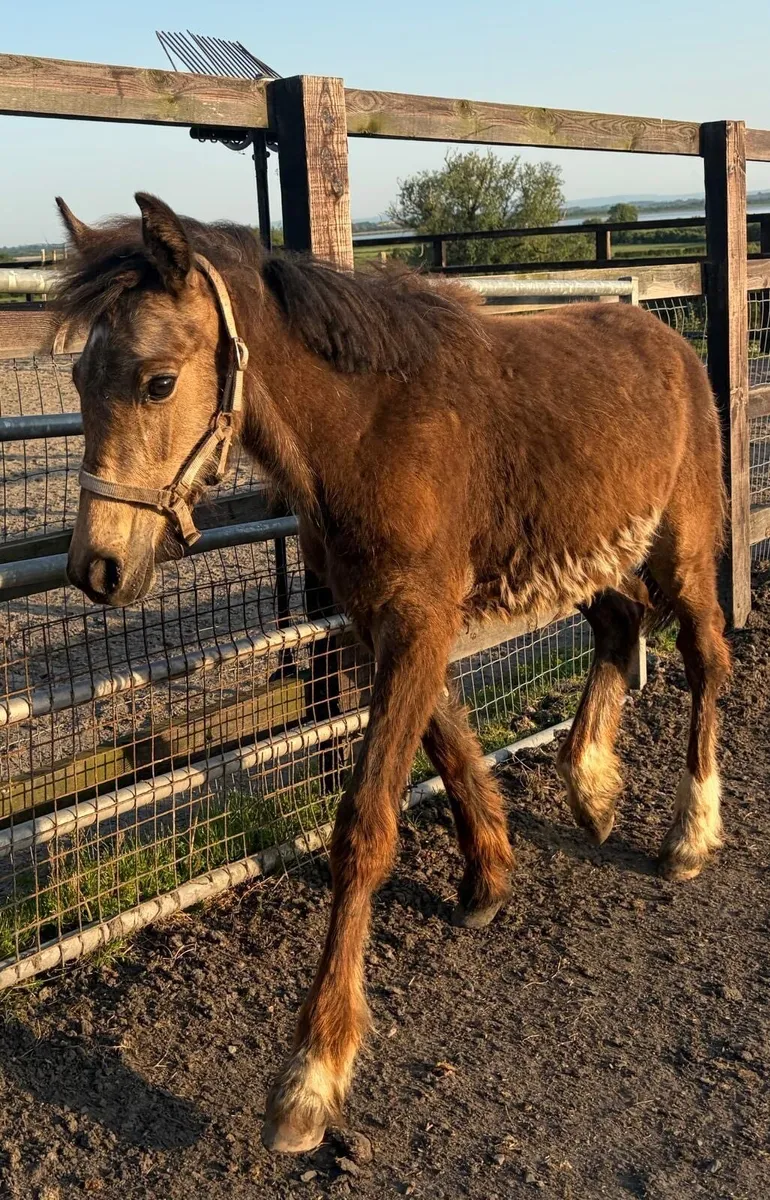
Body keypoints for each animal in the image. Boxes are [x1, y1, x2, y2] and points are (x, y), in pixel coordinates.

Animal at [54, 193, 731, 1154]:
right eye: (80, 379)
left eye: (157, 382)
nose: (98, 569)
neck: (369, 429)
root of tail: (669, 339)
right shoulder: (391, 621)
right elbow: (448, 744)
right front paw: (489, 877)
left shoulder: (416, 618)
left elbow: (365, 827)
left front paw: (312, 1074)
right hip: (590, 554)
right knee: (620, 623)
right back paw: (592, 789)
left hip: (684, 547)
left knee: (706, 658)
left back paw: (689, 834)